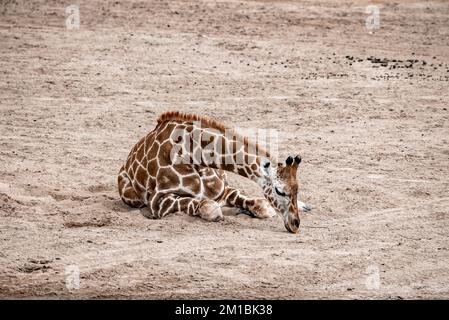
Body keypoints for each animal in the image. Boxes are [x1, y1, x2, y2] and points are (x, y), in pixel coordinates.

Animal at [117, 111, 310, 234]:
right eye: (279, 191)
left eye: (297, 189)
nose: (295, 224)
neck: (194, 155)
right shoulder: (159, 201)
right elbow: (209, 208)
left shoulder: (223, 189)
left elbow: (261, 205)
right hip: (130, 195)